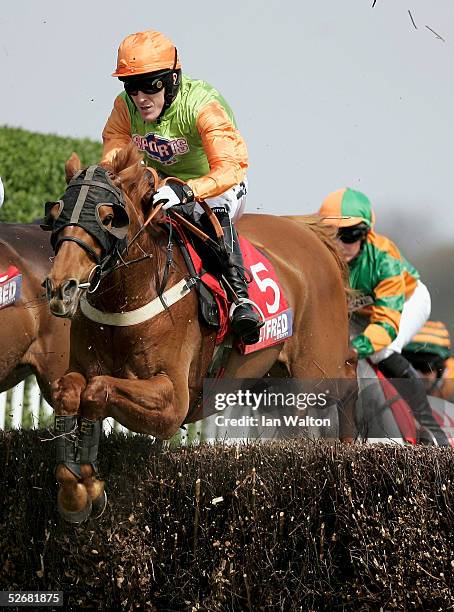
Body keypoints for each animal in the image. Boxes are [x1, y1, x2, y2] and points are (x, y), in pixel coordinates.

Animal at [44, 146, 358, 524]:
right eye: (56, 214)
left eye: (108, 218)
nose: (61, 288)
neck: (129, 296)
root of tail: (311, 234)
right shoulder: (82, 366)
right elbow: (70, 391)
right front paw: (75, 492)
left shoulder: (173, 402)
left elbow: (97, 390)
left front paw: (88, 485)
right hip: (275, 378)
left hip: (317, 368)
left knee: (350, 375)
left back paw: (349, 450)